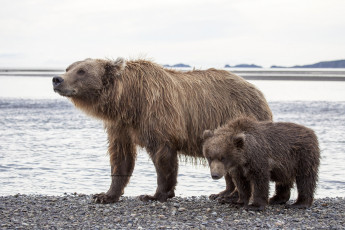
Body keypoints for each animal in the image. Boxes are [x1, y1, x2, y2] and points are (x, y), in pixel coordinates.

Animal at [52, 58, 272, 203]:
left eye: (82, 71)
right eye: (69, 67)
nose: (56, 79)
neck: (129, 101)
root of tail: (258, 91)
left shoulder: (157, 117)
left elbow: (162, 158)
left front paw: (154, 194)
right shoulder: (120, 126)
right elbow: (120, 158)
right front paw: (105, 195)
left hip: (239, 117)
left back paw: (231, 195)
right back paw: (223, 193)